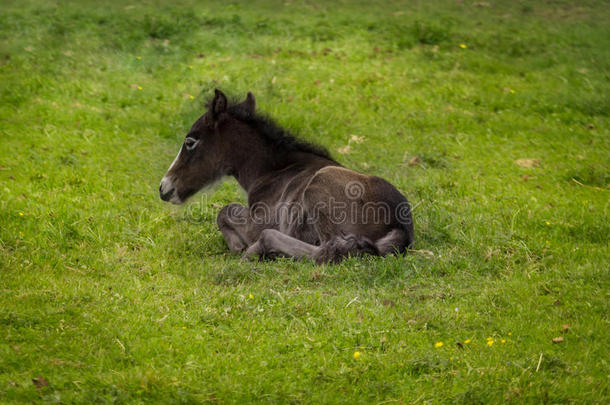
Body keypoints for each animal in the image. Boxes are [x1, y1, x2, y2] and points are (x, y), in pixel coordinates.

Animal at [159, 89, 410, 262]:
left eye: (190, 142)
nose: (164, 188)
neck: (271, 172)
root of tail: (401, 227)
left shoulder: (256, 222)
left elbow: (225, 211)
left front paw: (238, 247)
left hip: (319, 185)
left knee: (327, 251)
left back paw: (260, 250)